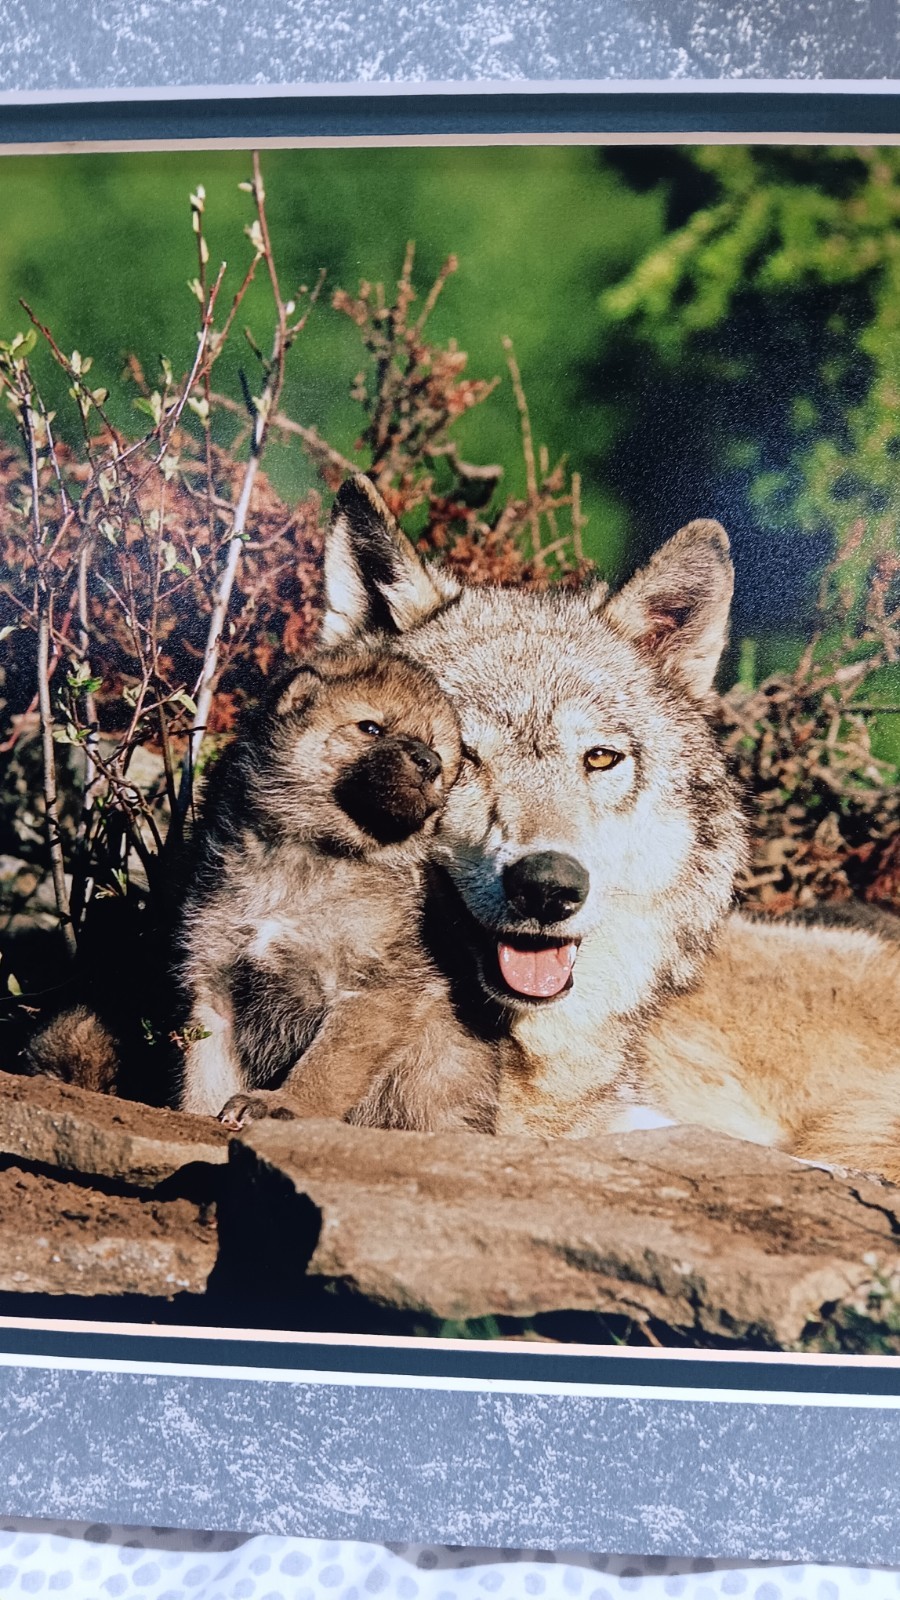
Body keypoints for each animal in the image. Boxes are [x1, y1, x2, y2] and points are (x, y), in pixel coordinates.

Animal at [177, 640, 498, 1132]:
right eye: (371, 728)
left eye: (436, 749)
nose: (431, 763)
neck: (309, 854)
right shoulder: (215, 984)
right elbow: (203, 1073)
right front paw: (193, 1115)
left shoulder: (371, 989)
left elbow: (326, 1066)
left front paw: (283, 1104)